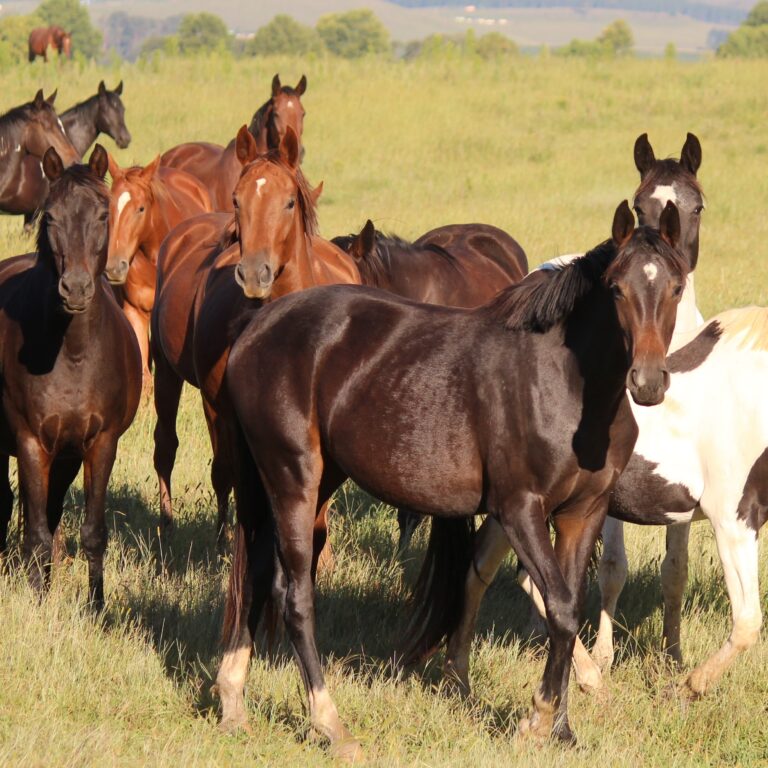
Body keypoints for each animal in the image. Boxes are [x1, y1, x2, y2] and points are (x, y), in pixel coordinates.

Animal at [0, 144, 142, 608]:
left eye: (102, 214)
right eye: (50, 216)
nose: (75, 288)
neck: (73, 353)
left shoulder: (99, 444)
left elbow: (91, 532)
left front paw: (96, 606)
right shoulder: (30, 442)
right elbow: (37, 534)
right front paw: (37, 603)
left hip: (66, 456)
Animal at [153, 126, 360, 544]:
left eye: (289, 203)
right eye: (237, 199)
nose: (253, 273)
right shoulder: (219, 404)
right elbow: (226, 473)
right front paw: (224, 544)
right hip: (167, 372)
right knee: (167, 447)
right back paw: (168, 525)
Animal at [216, 200, 688, 756]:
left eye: (676, 285)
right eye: (616, 288)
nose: (649, 381)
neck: (565, 384)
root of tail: (258, 325)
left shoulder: (583, 514)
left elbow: (568, 609)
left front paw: (561, 728)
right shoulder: (520, 510)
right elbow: (561, 609)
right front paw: (535, 721)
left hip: (306, 480)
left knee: (255, 576)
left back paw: (232, 701)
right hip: (293, 479)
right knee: (295, 596)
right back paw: (330, 724)